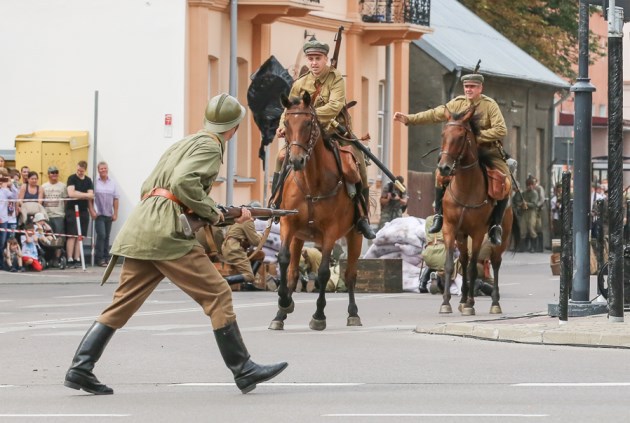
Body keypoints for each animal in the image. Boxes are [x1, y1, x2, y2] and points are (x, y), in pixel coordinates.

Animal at [270, 92, 366, 332]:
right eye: (287, 123)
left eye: (308, 123)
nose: (296, 160)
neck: (311, 182)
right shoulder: (288, 225)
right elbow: (283, 260)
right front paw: (283, 303)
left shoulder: (331, 231)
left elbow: (323, 272)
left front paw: (319, 315)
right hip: (299, 237)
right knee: (293, 271)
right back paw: (280, 313)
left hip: (355, 235)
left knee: (350, 275)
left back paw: (353, 313)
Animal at [436, 107, 516, 316]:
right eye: (443, 134)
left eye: (460, 136)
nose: (444, 167)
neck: (466, 188)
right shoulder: (450, 229)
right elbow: (450, 265)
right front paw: (445, 302)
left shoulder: (478, 232)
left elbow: (474, 268)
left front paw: (471, 304)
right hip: (462, 236)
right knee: (463, 261)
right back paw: (463, 299)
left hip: (501, 238)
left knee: (495, 263)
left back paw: (494, 303)